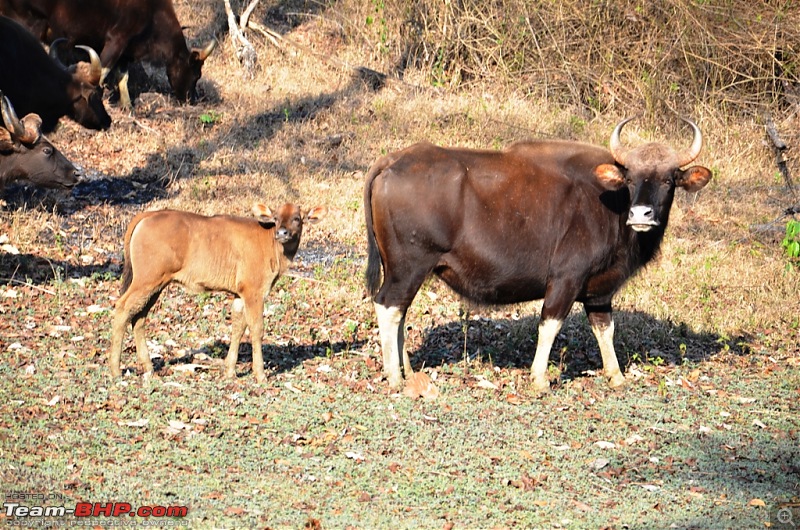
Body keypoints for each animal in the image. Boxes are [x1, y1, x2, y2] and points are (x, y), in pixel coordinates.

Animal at [110, 201, 328, 380]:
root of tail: (149, 215)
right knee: (122, 309)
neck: (269, 244)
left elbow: (238, 327)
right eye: (275, 218)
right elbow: (256, 329)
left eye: (297, 218)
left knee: (139, 318)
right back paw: (116, 370)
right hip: (146, 281)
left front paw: (230, 371)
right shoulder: (254, 292)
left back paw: (148, 367)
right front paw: (260, 374)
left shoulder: (240, 295)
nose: (282, 232)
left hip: (156, 285)